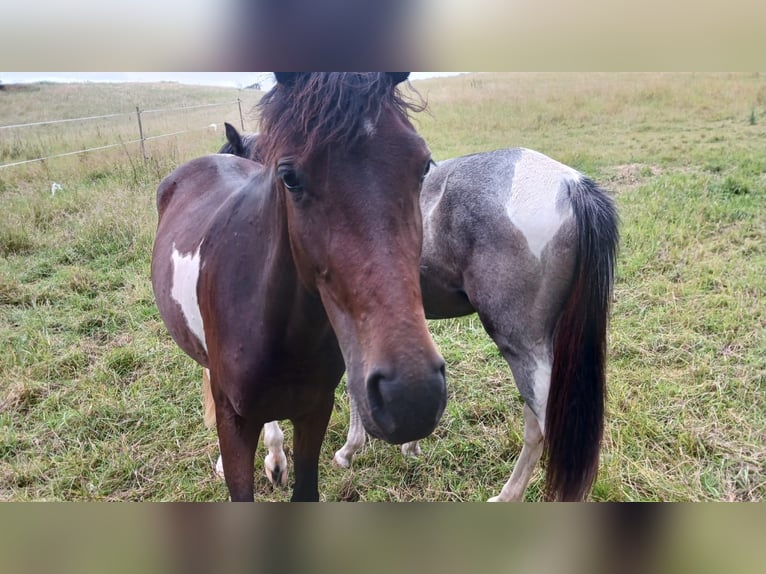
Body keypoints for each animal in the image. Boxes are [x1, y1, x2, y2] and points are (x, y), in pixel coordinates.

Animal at [151, 73, 448, 504]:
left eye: (424, 165)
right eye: (289, 177)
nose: (411, 396)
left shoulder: (315, 409)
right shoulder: (236, 420)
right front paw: (271, 462)